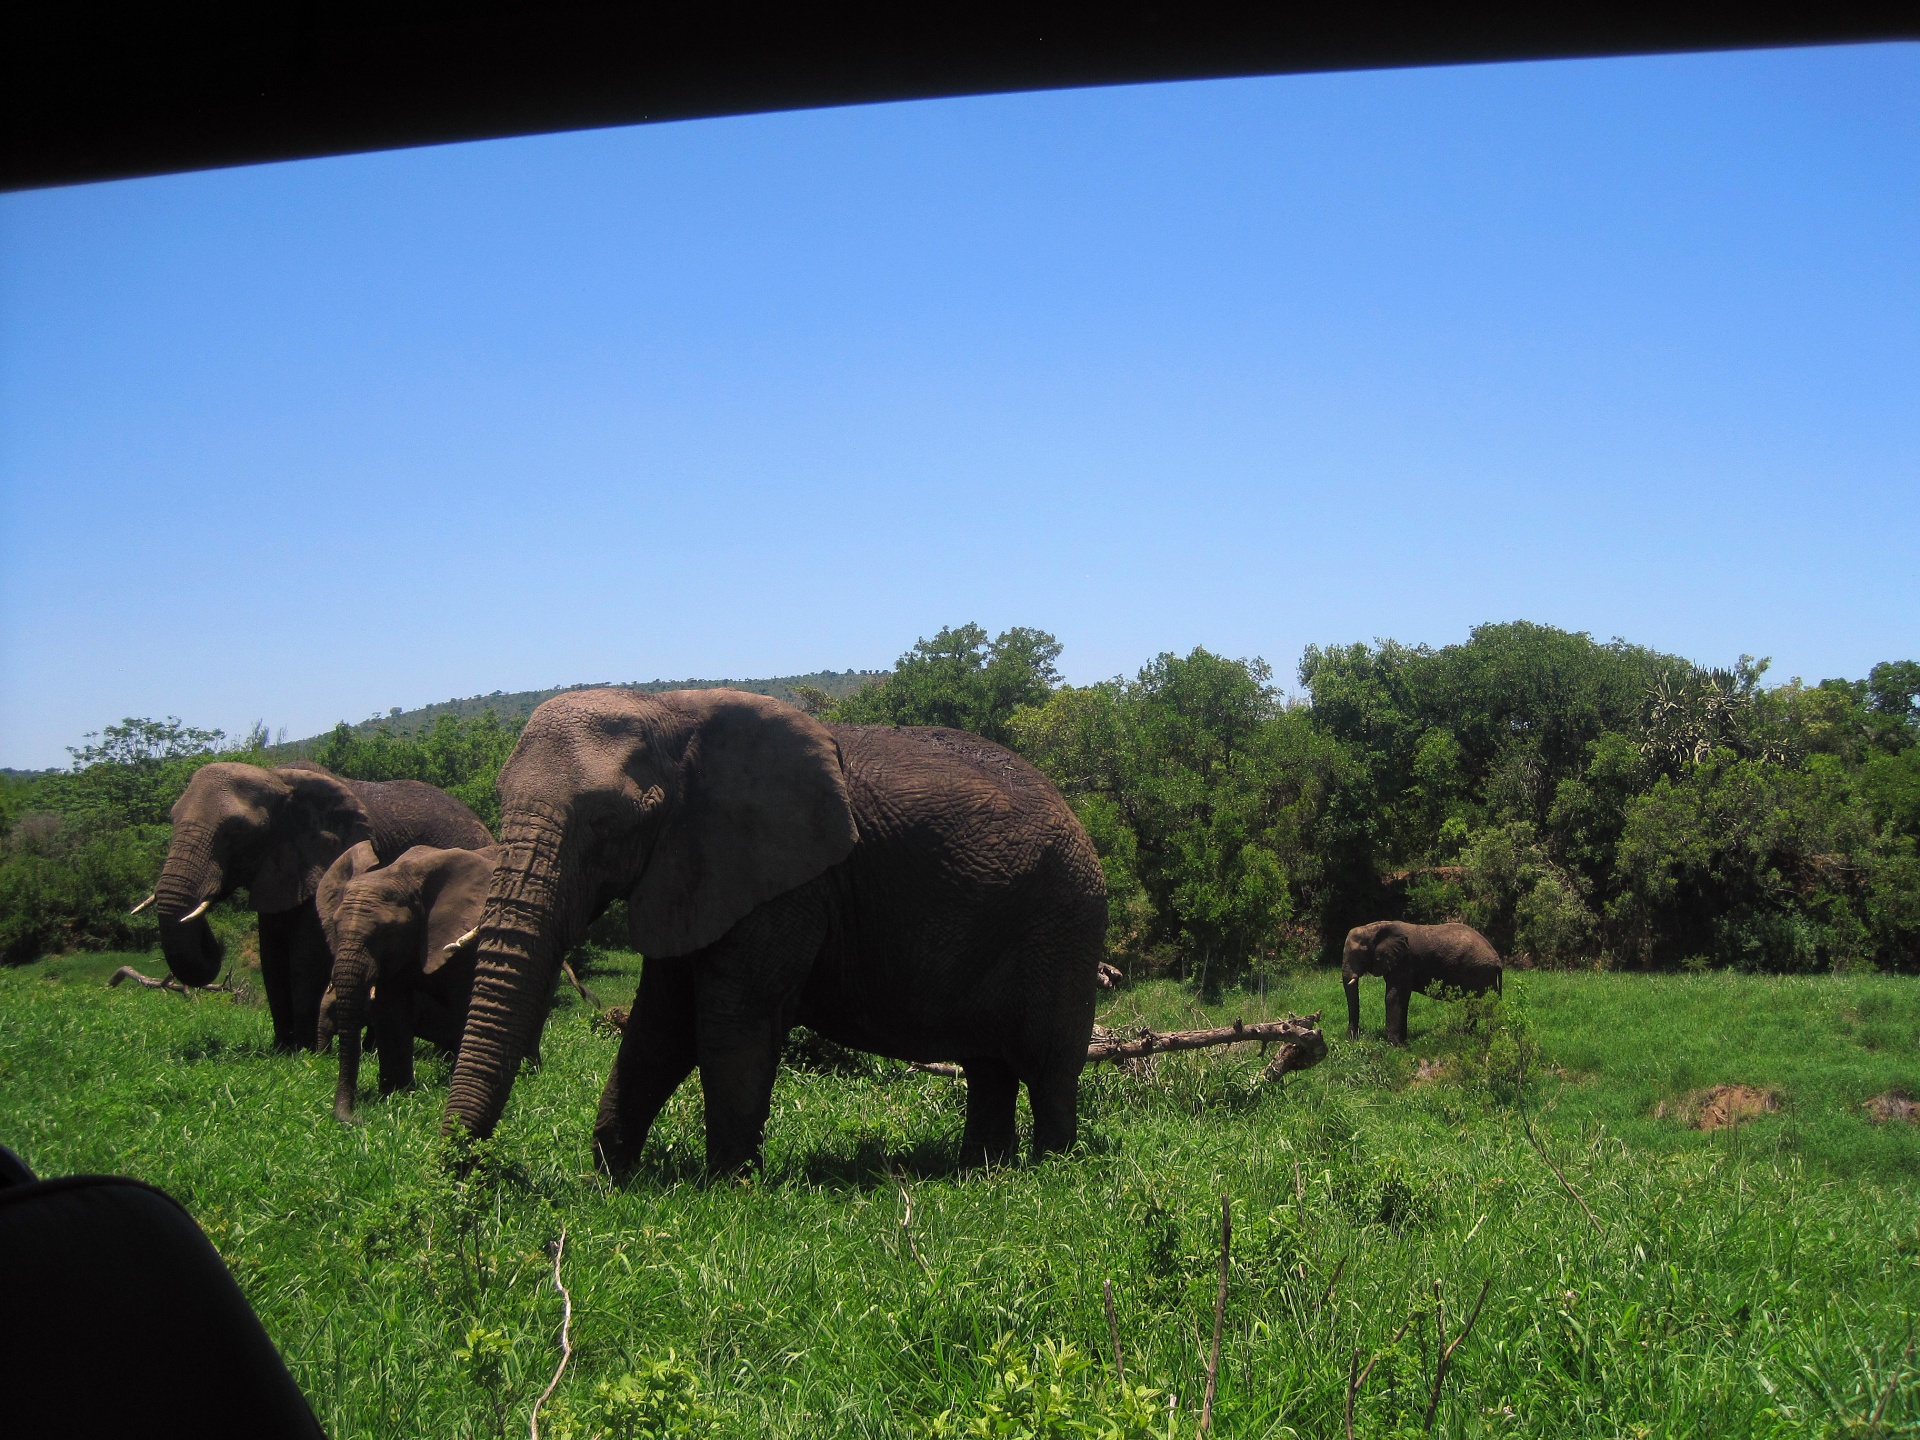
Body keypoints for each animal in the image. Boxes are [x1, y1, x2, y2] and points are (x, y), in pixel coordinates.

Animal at [150, 760, 495, 1052]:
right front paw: (281, 1050)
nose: (216, 941)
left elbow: (304, 958)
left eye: (237, 831)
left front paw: (304, 1052)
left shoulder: (321, 860)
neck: (276, 777)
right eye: (172, 819)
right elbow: (271, 956)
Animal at [314, 844, 499, 1128]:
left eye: (387, 932)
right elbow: (391, 1011)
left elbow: (464, 1000)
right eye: (334, 926)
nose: (356, 1118)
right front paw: (397, 1094)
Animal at [445, 695, 1113, 1175]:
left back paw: (1050, 1169)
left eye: (608, 822)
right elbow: (661, 1023)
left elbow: (730, 1020)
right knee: (986, 1065)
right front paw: (613, 1175)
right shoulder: (693, 871)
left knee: (1049, 1064)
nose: (467, 1170)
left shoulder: (783, 882)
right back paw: (982, 1171)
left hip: (1066, 920)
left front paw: (728, 1186)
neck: (669, 714)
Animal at [1344, 925, 1505, 1052]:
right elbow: (1402, 998)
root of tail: (1497, 960)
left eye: (1358, 954)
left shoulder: (1403, 961)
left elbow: (1393, 997)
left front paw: (1393, 1046)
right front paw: (1402, 1042)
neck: (1374, 928)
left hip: (1478, 972)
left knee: (1476, 1006)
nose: (1352, 1040)